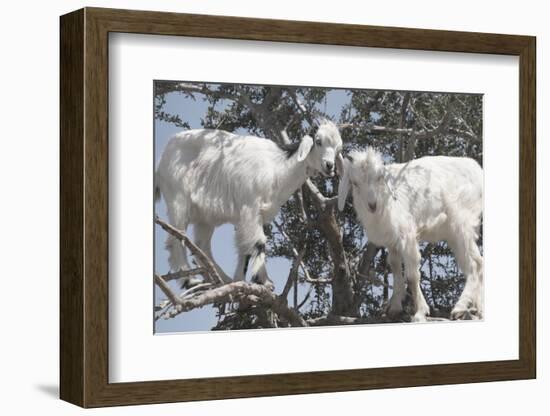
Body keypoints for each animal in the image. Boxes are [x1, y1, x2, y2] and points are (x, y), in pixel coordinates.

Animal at [156, 121, 344, 286]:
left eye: (338, 148)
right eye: (318, 141)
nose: (329, 166)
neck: (277, 168)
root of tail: (162, 157)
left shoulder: (253, 215)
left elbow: (244, 246)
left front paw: (240, 279)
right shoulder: (250, 207)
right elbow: (259, 242)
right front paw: (264, 281)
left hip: (205, 217)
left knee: (202, 247)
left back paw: (223, 279)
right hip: (178, 198)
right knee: (176, 239)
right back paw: (189, 281)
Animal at [338, 149, 486, 322]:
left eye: (379, 177)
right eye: (354, 183)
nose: (372, 205)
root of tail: (477, 170)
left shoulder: (407, 235)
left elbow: (412, 276)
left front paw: (420, 312)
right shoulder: (392, 240)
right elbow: (395, 267)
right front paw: (395, 307)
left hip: (462, 223)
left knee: (474, 264)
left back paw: (460, 307)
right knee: (477, 263)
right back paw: (477, 309)